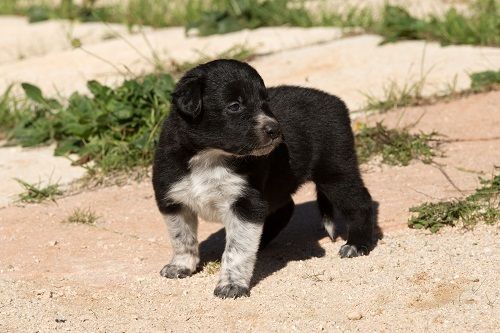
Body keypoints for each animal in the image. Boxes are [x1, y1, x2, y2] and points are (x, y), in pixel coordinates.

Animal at [150, 59, 374, 298]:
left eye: (265, 102)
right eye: (234, 106)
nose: (276, 129)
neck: (210, 157)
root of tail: (337, 102)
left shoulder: (246, 203)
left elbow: (236, 249)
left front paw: (232, 285)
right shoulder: (172, 198)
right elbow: (181, 237)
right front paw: (181, 266)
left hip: (336, 170)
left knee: (360, 202)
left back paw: (357, 244)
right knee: (285, 209)